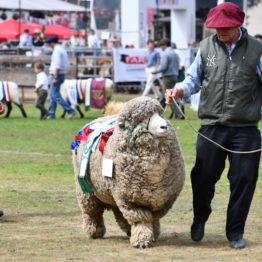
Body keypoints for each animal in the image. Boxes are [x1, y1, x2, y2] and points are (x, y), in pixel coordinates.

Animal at [72, 95, 185, 248]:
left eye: (160, 114)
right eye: (141, 119)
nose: (164, 126)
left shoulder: (161, 199)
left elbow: (153, 219)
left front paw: (153, 235)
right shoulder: (131, 200)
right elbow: (141, 219)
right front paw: (142, 239)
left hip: (112, 193)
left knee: (118, 211)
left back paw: (127, 229)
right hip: (86, 191)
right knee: (92, 212)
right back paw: (94, 231)